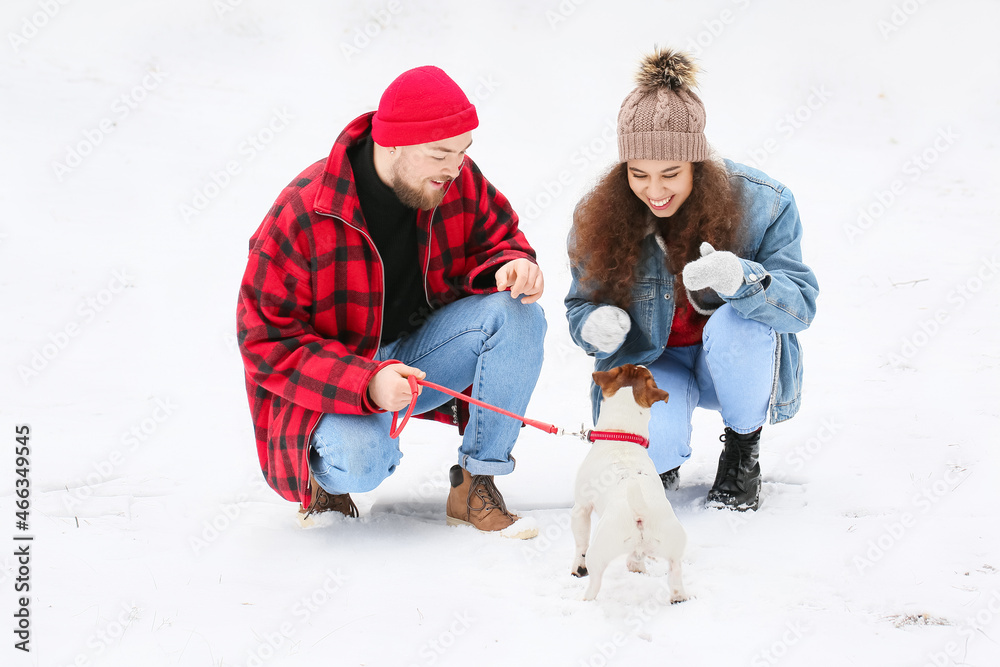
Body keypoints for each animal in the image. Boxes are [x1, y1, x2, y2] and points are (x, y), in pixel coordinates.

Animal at [572, 366, 688, 604]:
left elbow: (580, 543)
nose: (643, 364)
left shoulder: (581, 509)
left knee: (594, 582)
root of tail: (640, 513)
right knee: (675, 574)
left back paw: (584, 600)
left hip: (599, 549)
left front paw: (577, 568)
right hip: (674, 546)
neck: (622, 437)